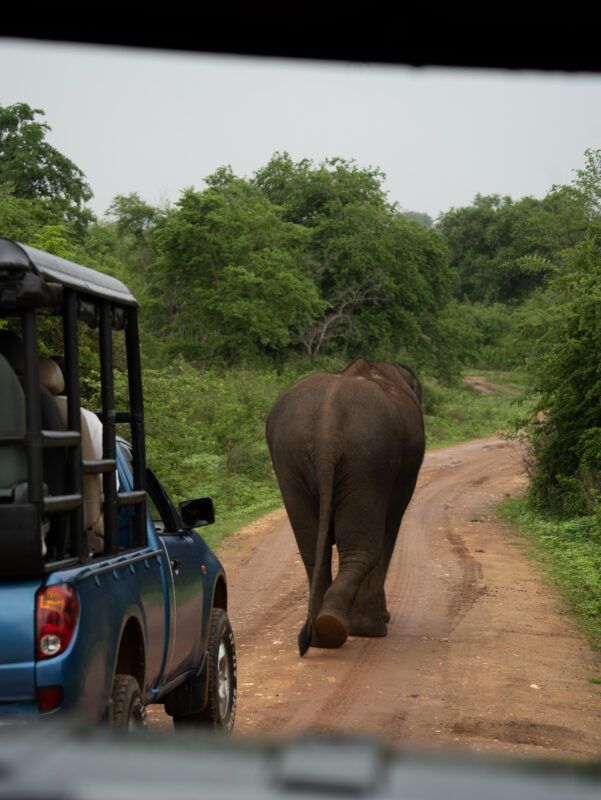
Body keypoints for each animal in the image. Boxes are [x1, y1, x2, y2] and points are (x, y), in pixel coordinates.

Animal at [266, 359, 425, 656]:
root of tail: (327, 429)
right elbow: (390, 527)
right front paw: (378, 622)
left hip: (289, 460)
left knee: (311, 549)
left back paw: (321, 633)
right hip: (369, 459)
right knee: (365, 549)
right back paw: (361, 628)